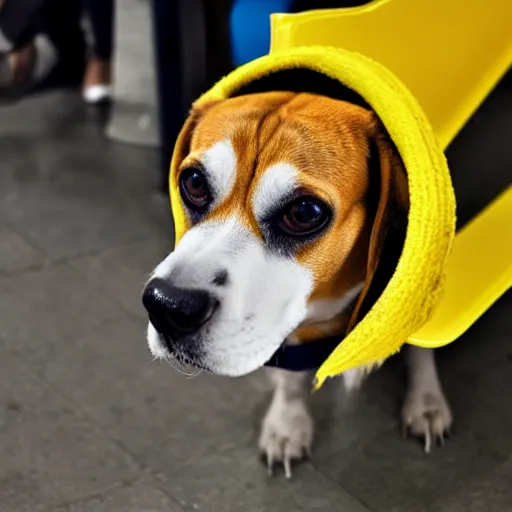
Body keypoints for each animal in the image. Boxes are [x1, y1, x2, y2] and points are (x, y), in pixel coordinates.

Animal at [143, 90, 452, 478]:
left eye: (304, 212)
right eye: (194, 182)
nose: (166, 305)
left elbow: (421, 346)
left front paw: (426, 401)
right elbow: (290, 377)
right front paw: (286, 425)